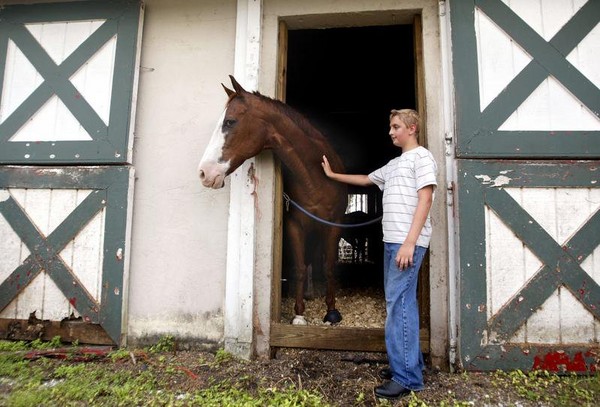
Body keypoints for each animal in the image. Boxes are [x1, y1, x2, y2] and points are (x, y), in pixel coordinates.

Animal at [198, 76, 346, 326]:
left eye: (230, 122)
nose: (204, 173)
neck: (317, 180)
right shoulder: (295, 226)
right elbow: (299, 268)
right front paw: (299, 315)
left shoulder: (333, 226)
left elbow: (329, 267)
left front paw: (331, 313)